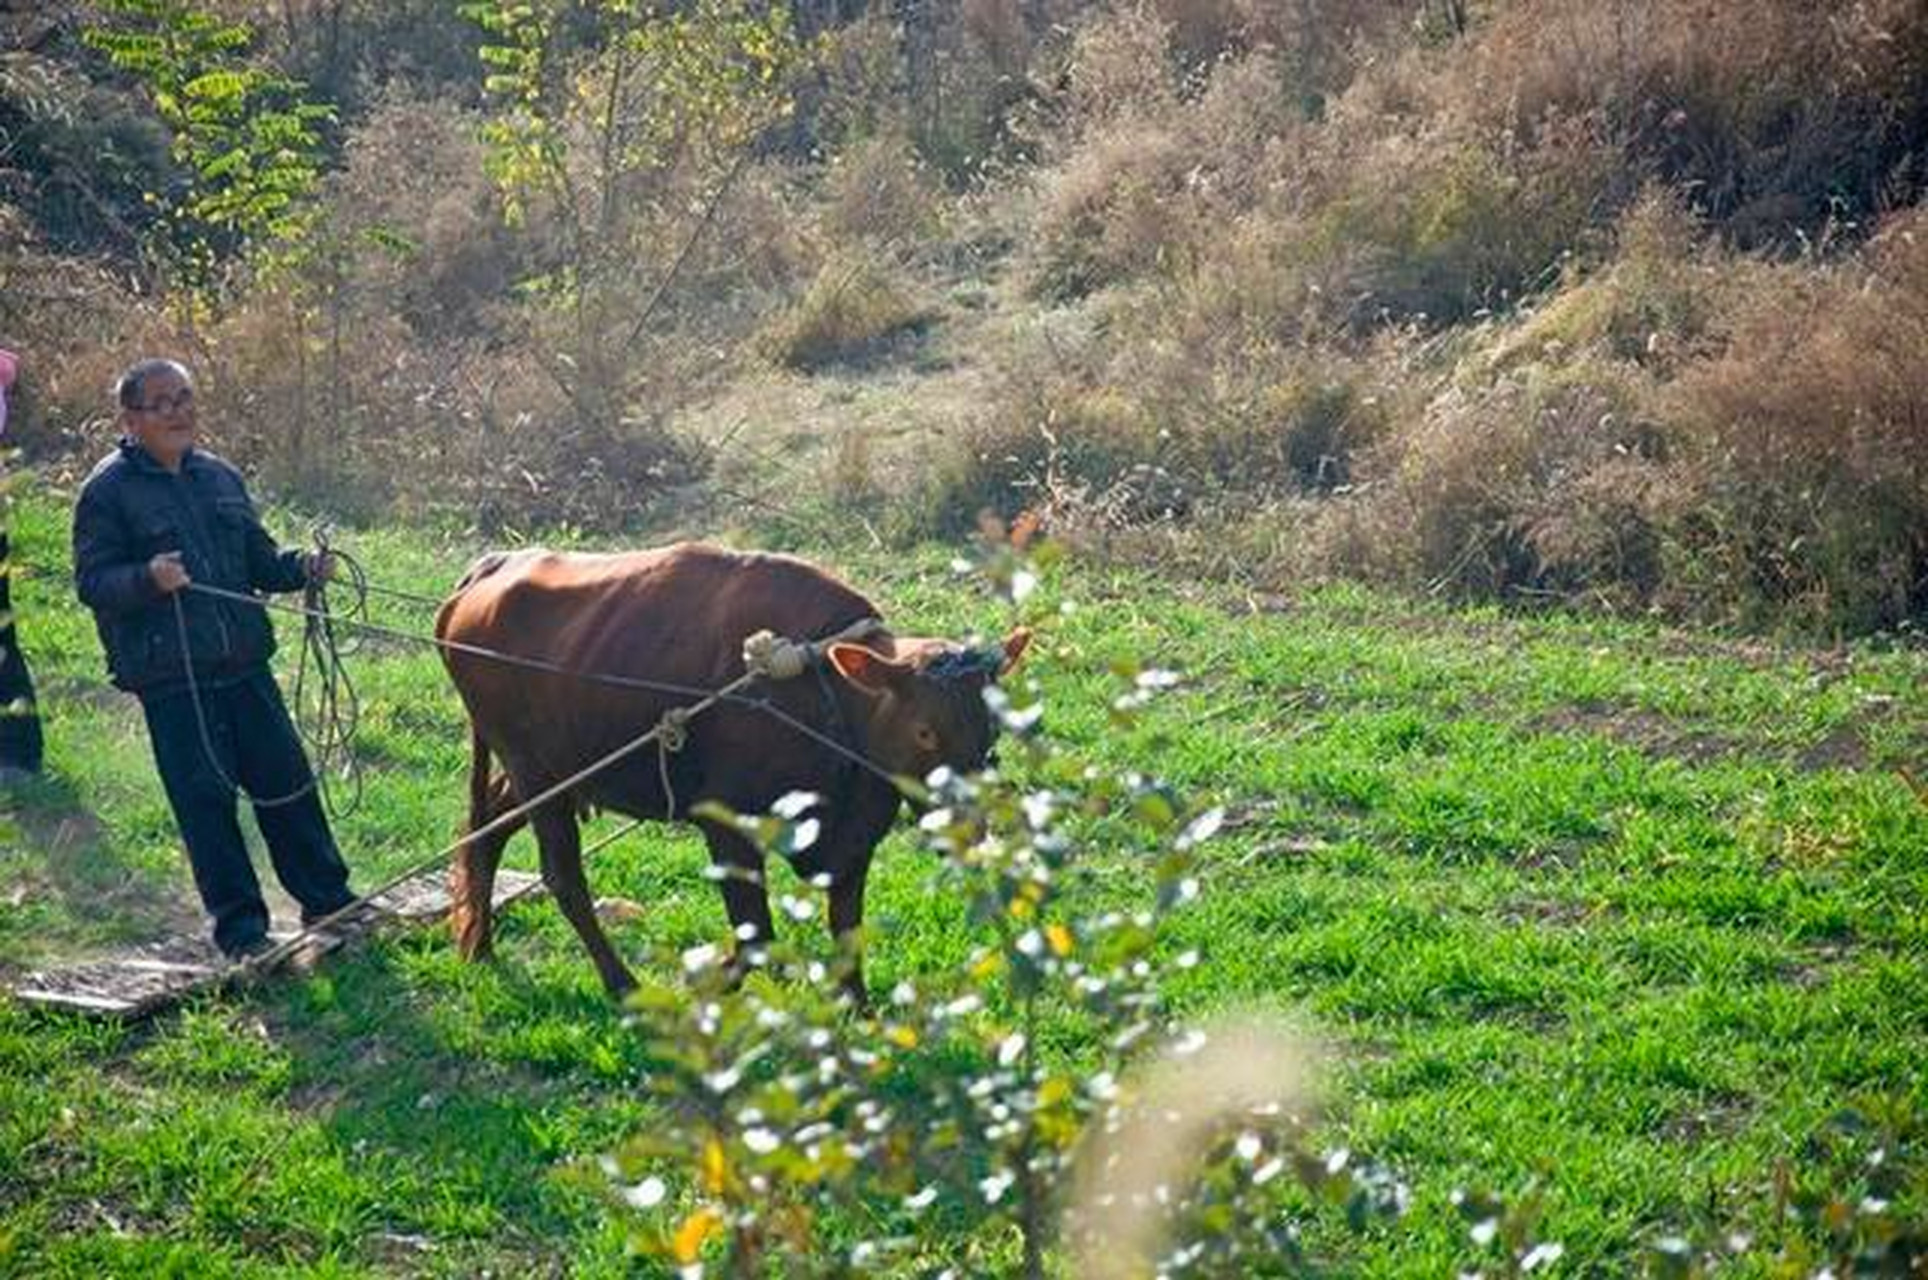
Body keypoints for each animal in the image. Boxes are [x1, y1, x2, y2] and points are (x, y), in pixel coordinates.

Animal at [431, 539, 1033, 1002]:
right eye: (925, 731)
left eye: (992, 729)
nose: (970, 828)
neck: (828, 698)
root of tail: (493, 567)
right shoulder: (726, 825)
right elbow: (757, 937)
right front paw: (705, 990)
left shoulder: (854, 844)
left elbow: (846, 930)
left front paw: (860, 1011)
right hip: (534, 770)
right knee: (562, 876)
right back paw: (622, 984)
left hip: (553, 768)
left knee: (484, 830)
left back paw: (479, 946)